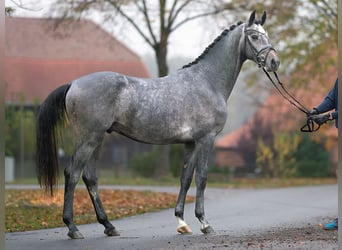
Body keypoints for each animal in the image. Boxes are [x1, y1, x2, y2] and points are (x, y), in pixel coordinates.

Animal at [35, 10, 280, 239]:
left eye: (267, 35)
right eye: (255, 36)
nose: (274, 62)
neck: (207, 81)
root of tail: (74, 83)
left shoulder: (191, 143)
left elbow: (185, 179)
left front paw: (182, 222)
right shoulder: (206, 139)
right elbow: (201, 178)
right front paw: (204, 223)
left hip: (97, 140)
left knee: (90, 178)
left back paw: (108, 226)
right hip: (89, 138)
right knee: (72, 174)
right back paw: (72, 227)